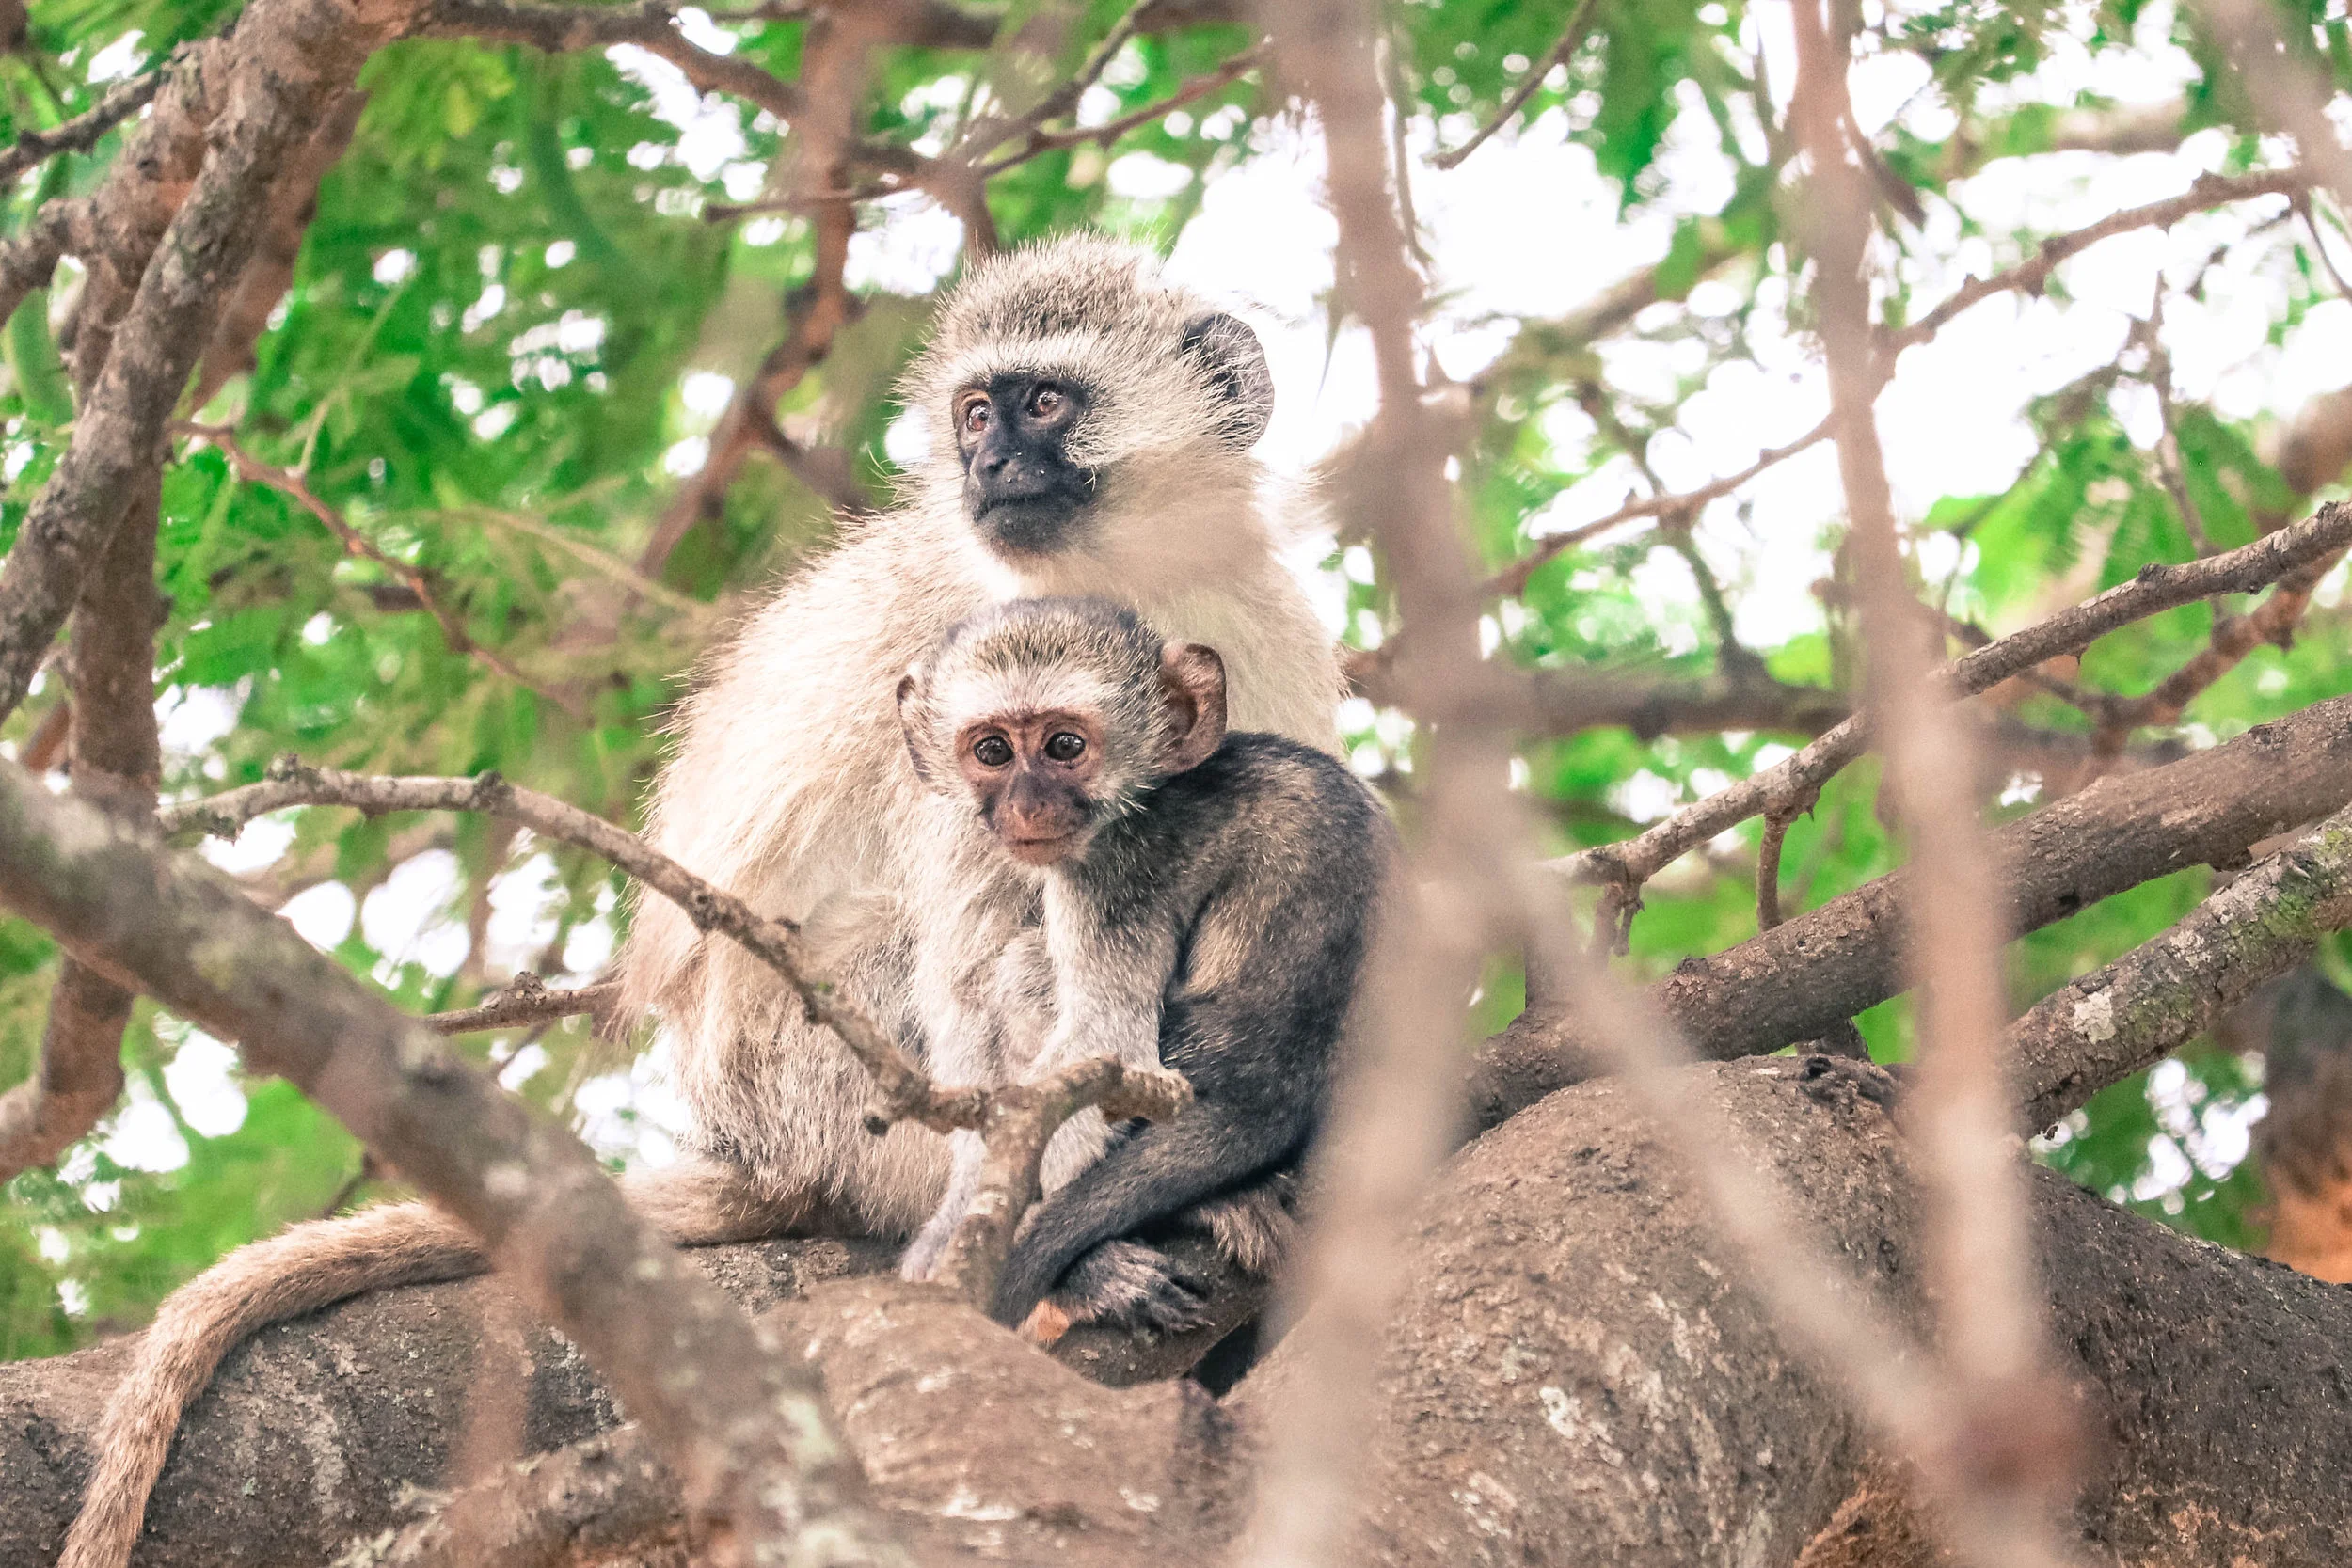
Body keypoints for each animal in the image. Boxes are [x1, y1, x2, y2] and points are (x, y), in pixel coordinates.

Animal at [892, 597, 1392, 1337]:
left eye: (1065, 746)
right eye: (992, 751)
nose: (1028, 804)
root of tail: (1276, 1082)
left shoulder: (1109, 869)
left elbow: (1104, 1042)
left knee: (1026, 975)